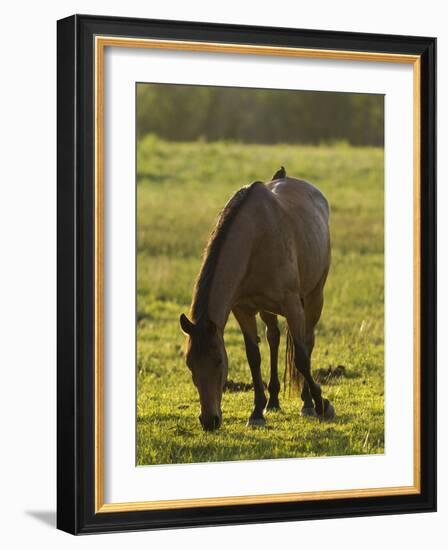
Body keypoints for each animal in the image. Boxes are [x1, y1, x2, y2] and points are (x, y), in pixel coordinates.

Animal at [180, 166, 334, 434]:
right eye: (190, 364)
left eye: (219, 361)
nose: (209, 420)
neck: (255, 239)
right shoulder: (243, 309)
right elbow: (254, 357)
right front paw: (257, 411)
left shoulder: (293, 305)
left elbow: (302, 358)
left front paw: (321, 403)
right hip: (267, 309)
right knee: (273, 337)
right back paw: (273, 401)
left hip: (314, 296)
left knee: (308, 341)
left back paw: (307, 402)